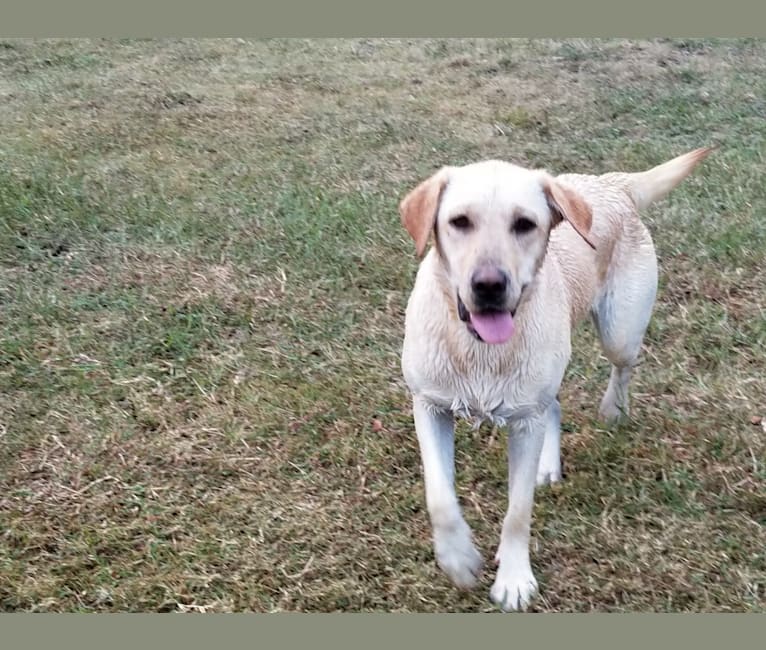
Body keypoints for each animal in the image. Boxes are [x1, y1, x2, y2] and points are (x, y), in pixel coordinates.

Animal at [402, 146, 712, 608]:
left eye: (525, 224)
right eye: (459, 221)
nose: (489, 285)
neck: (479, 348)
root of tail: (612, 183)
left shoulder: (524, 421)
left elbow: (517, 512)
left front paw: (514, 579)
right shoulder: (429, 405)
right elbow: (439, 496)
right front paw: (458, 558)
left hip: (619, 333)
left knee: (620, 368)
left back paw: (613, 410)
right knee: (555, 403)